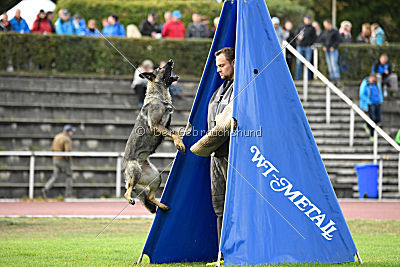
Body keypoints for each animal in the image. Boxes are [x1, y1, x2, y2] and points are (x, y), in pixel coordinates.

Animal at [122, 59, 185, 215]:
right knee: (127, 191)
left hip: (156, 177)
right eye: (161, 68)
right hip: (135, 171)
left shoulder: (166, 126)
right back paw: (130, 199)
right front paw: (179, 144)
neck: (159, 96)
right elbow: (174, 134)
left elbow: (175, 132)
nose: (171, 61)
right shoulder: (156, 126)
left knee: (150, 197)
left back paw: (162, 205)